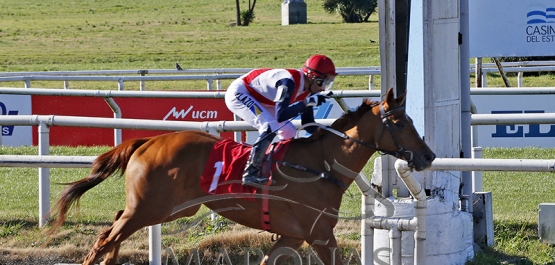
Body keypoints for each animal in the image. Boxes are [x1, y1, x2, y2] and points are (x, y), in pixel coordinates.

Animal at [47, 87, 436, 262]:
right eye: (400, 121)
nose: (428, 156)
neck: (321, 164)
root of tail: (148, 140)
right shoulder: (321, 235)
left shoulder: (292, 236)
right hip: (150, 208)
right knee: (105, 238)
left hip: (163, 208)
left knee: (112, 230)